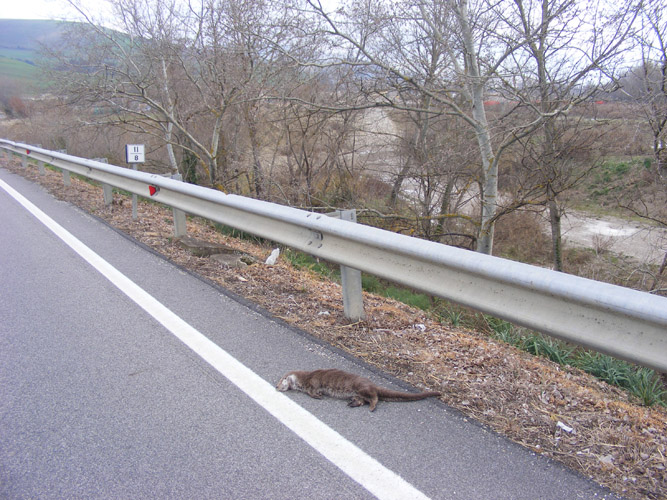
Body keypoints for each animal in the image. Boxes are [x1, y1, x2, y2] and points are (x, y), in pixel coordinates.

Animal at [276, 368, 444, 410]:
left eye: (280, 381)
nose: (276, 387)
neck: (303, 379)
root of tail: (371, 383)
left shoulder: (313, 381)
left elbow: (313, 391)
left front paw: (318, 395)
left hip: (362, 388)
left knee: (374, 397)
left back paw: (371, 407)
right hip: (359, 392)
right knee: (364, 399)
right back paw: (353, 403)